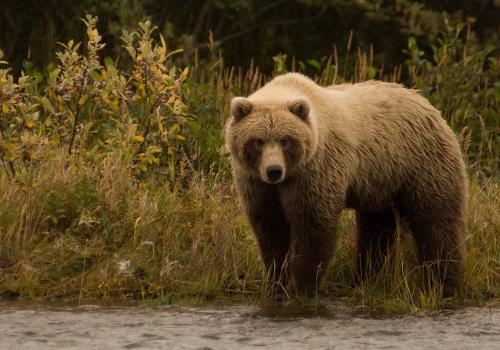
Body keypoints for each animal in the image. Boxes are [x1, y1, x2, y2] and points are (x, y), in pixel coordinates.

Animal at [225, 72, 466, 296]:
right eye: (258, 141)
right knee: (376, 230)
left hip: (421, 166)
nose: (274, 170)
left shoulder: (315, 171)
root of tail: (428, 105)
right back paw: (364, 278)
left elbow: (313, 226)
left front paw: (303, 286)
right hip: (380, 183)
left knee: (437, 223)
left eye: (285, 140)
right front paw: (276, 283)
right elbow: (271, 227)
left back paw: (444, 284)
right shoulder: (257, 183)